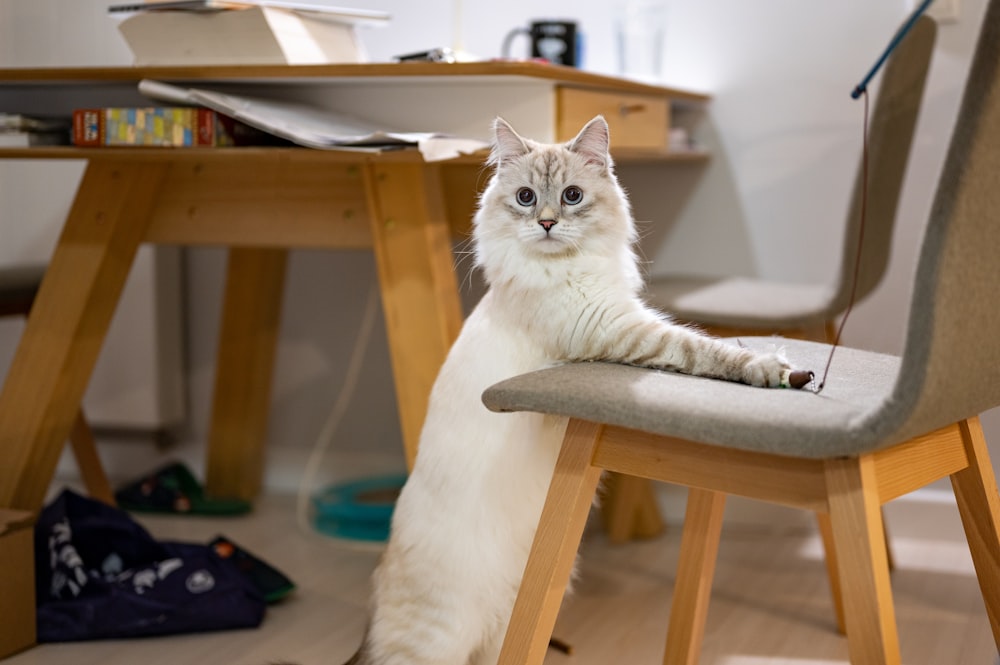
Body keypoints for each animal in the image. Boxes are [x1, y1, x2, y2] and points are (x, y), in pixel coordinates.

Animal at [348, 116, 800, 660]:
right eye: (525, 197)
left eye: (571, 196)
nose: (545, 223)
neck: (566, 268)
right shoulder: (622, 333)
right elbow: (706, 351)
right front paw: (777, 369)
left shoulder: (627, 320)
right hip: (439, 643)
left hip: (503, 625)